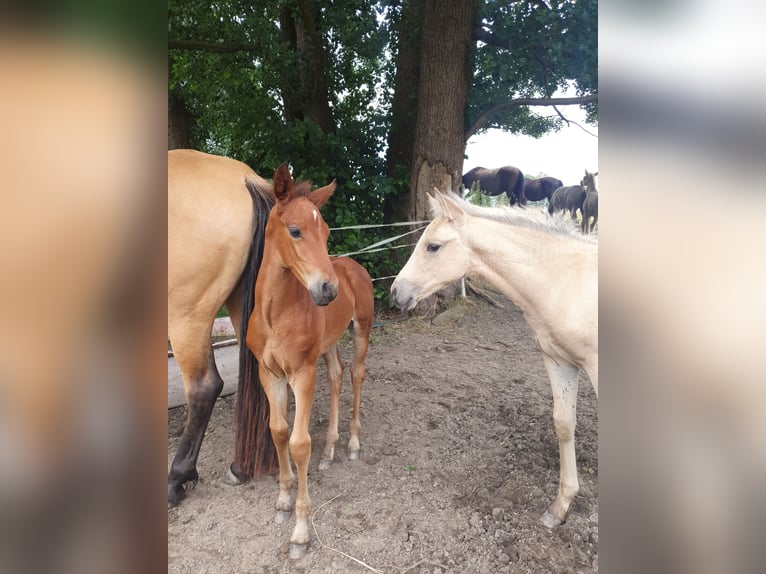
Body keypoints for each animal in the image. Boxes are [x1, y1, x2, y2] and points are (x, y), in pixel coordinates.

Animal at [246, 164, 376, 560]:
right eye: (295, 230)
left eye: (328, 232)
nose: (329, 290)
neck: (275, 314)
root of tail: (351, 265)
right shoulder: (269, 373)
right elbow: (278, 430)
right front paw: (283, 498)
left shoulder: (301, 374)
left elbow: (299, 443)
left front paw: (301, 532)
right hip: (329, 343)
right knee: (335, 376)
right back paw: (330, 449)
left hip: (362, 329)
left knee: (356, 374)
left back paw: (351, 444)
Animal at [390, 190, 600, 532]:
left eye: (433, 246)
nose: (396, 292)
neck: (566, 282)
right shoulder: (559, 361)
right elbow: (564, 424)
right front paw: (560, 507)